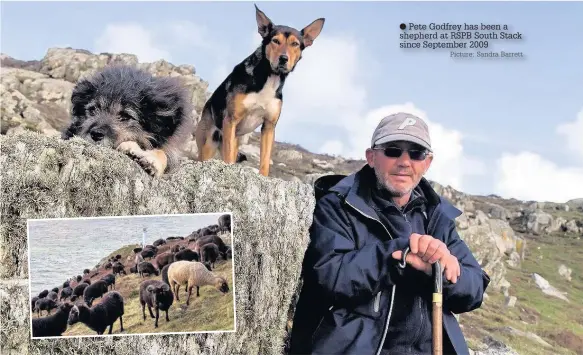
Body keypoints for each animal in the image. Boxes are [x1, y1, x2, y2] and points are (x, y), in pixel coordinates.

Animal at [195, 4, 324, 177]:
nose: (283, 59)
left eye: (295, 44)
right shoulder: (231, 119)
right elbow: (228, 159)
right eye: (275, 41)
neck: (269, 77)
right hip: (209, 142)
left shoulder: (269, 126)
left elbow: (265, 160)